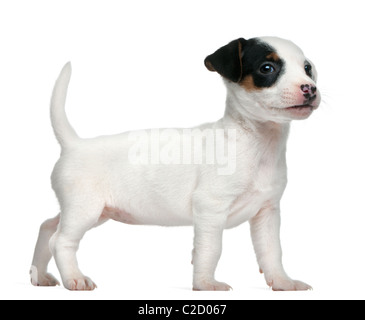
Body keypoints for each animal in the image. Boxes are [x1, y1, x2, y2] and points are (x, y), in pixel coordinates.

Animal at [30, 36, 318, 292]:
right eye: (267, 68)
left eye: (307, 68)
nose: (311, 88)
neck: (257, 142)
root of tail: (73, 144)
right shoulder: (210, 208)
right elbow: (210, 249)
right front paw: (205, 284)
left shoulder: (266, 213)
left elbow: (271, 251)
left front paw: (282, 282)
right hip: (85, 210)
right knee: (61, 240)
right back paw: (74, 279)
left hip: (91, 212)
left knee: (47, 226)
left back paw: (39, 275)